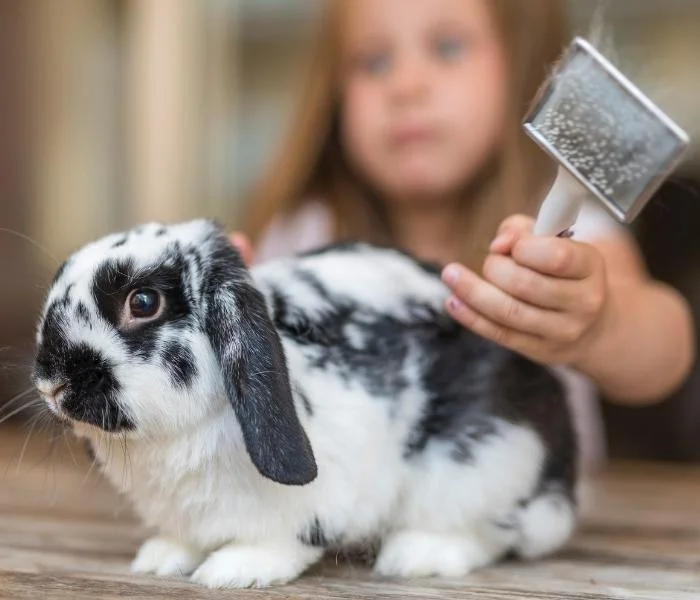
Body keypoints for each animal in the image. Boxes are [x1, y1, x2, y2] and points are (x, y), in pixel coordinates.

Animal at [31, 218, 579, 589]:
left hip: (481, 463)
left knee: (487, 531)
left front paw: (233, 571)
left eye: (143, 302)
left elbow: (284, 538)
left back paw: (416, 555)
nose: (51, 383)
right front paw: (162, 558)